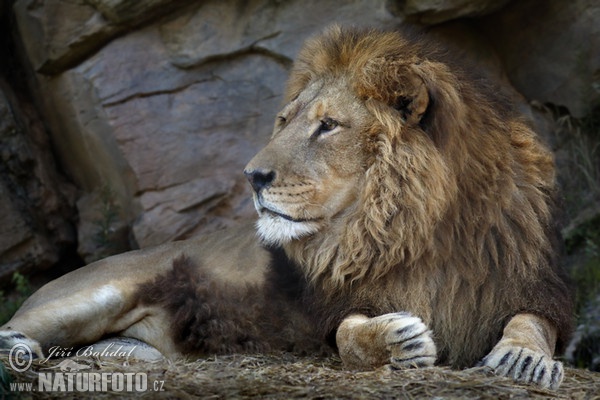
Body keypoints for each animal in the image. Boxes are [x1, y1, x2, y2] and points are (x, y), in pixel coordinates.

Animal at [0, 25, 572, 388]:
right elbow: (347, 334)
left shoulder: (525, 283)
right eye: (285, 120)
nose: (252, 176)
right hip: (93, 294)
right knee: (13, 330)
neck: (410, 229)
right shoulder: (321, 312)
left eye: (328, 125)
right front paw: (397, 340)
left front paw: (523, 358)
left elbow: (531, 322)